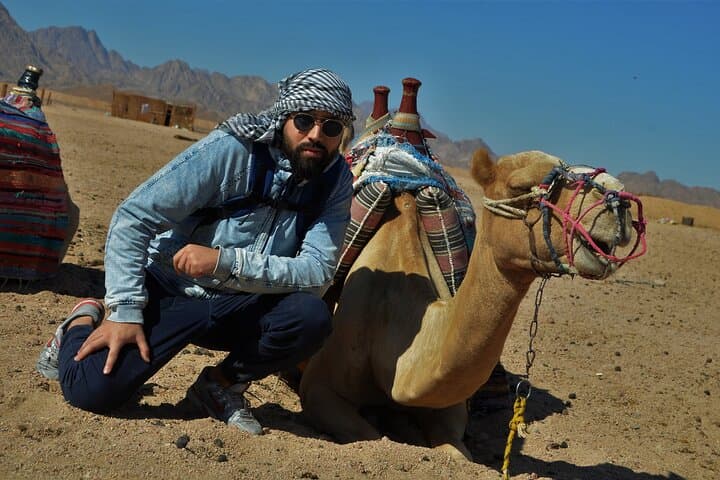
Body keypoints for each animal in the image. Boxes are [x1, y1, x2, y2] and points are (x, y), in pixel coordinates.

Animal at [299, 146, 645, 460]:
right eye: (521, 187)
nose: (618, 202)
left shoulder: (451, 410)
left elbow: (456, 452)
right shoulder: (318, 388)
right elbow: (370, 435)